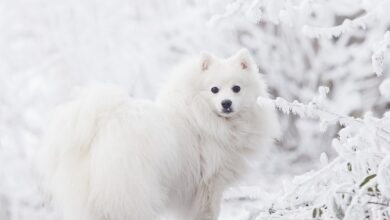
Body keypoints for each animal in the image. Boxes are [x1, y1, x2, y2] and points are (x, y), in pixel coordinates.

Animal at [37, 49, 280, 219]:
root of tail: (102, 123)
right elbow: (207, 213)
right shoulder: (209, 185)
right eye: (214, 90)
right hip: (132, 190)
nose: (226, 103)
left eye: (236, 88)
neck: (200, 116)